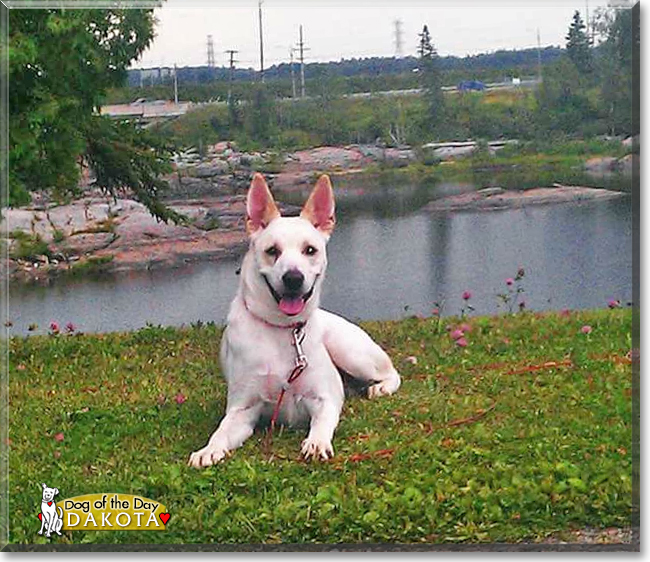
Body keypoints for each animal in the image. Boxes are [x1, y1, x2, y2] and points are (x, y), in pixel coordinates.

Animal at [187, 173, 398, 466]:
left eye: (310, 250)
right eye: (272, 251)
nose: (293, 278)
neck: (282, 329)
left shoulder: (325, 398)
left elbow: (322, 423)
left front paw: (317, 443)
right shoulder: (243, 409)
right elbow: (221, 431)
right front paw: (209, 449)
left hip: (351, 352)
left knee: (392, 373)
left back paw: (382, 387)